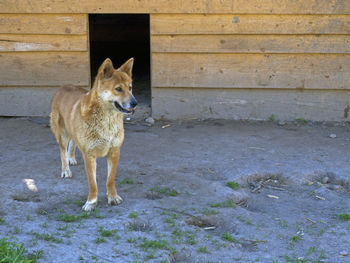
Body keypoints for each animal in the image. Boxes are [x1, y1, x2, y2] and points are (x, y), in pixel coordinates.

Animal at [50, 58, 137, 212]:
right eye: (118, 89)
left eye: (130, 88)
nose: (135, 103)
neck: (108, 120)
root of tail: (63, 86)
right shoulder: (89, 155)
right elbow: (93, 183)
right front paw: (91, 202)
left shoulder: (114, 151)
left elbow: (110, 179)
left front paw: (113, 197)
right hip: (62, 134)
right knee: (62, 151)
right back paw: (66, 169)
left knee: (72, 143)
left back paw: (71, 158)